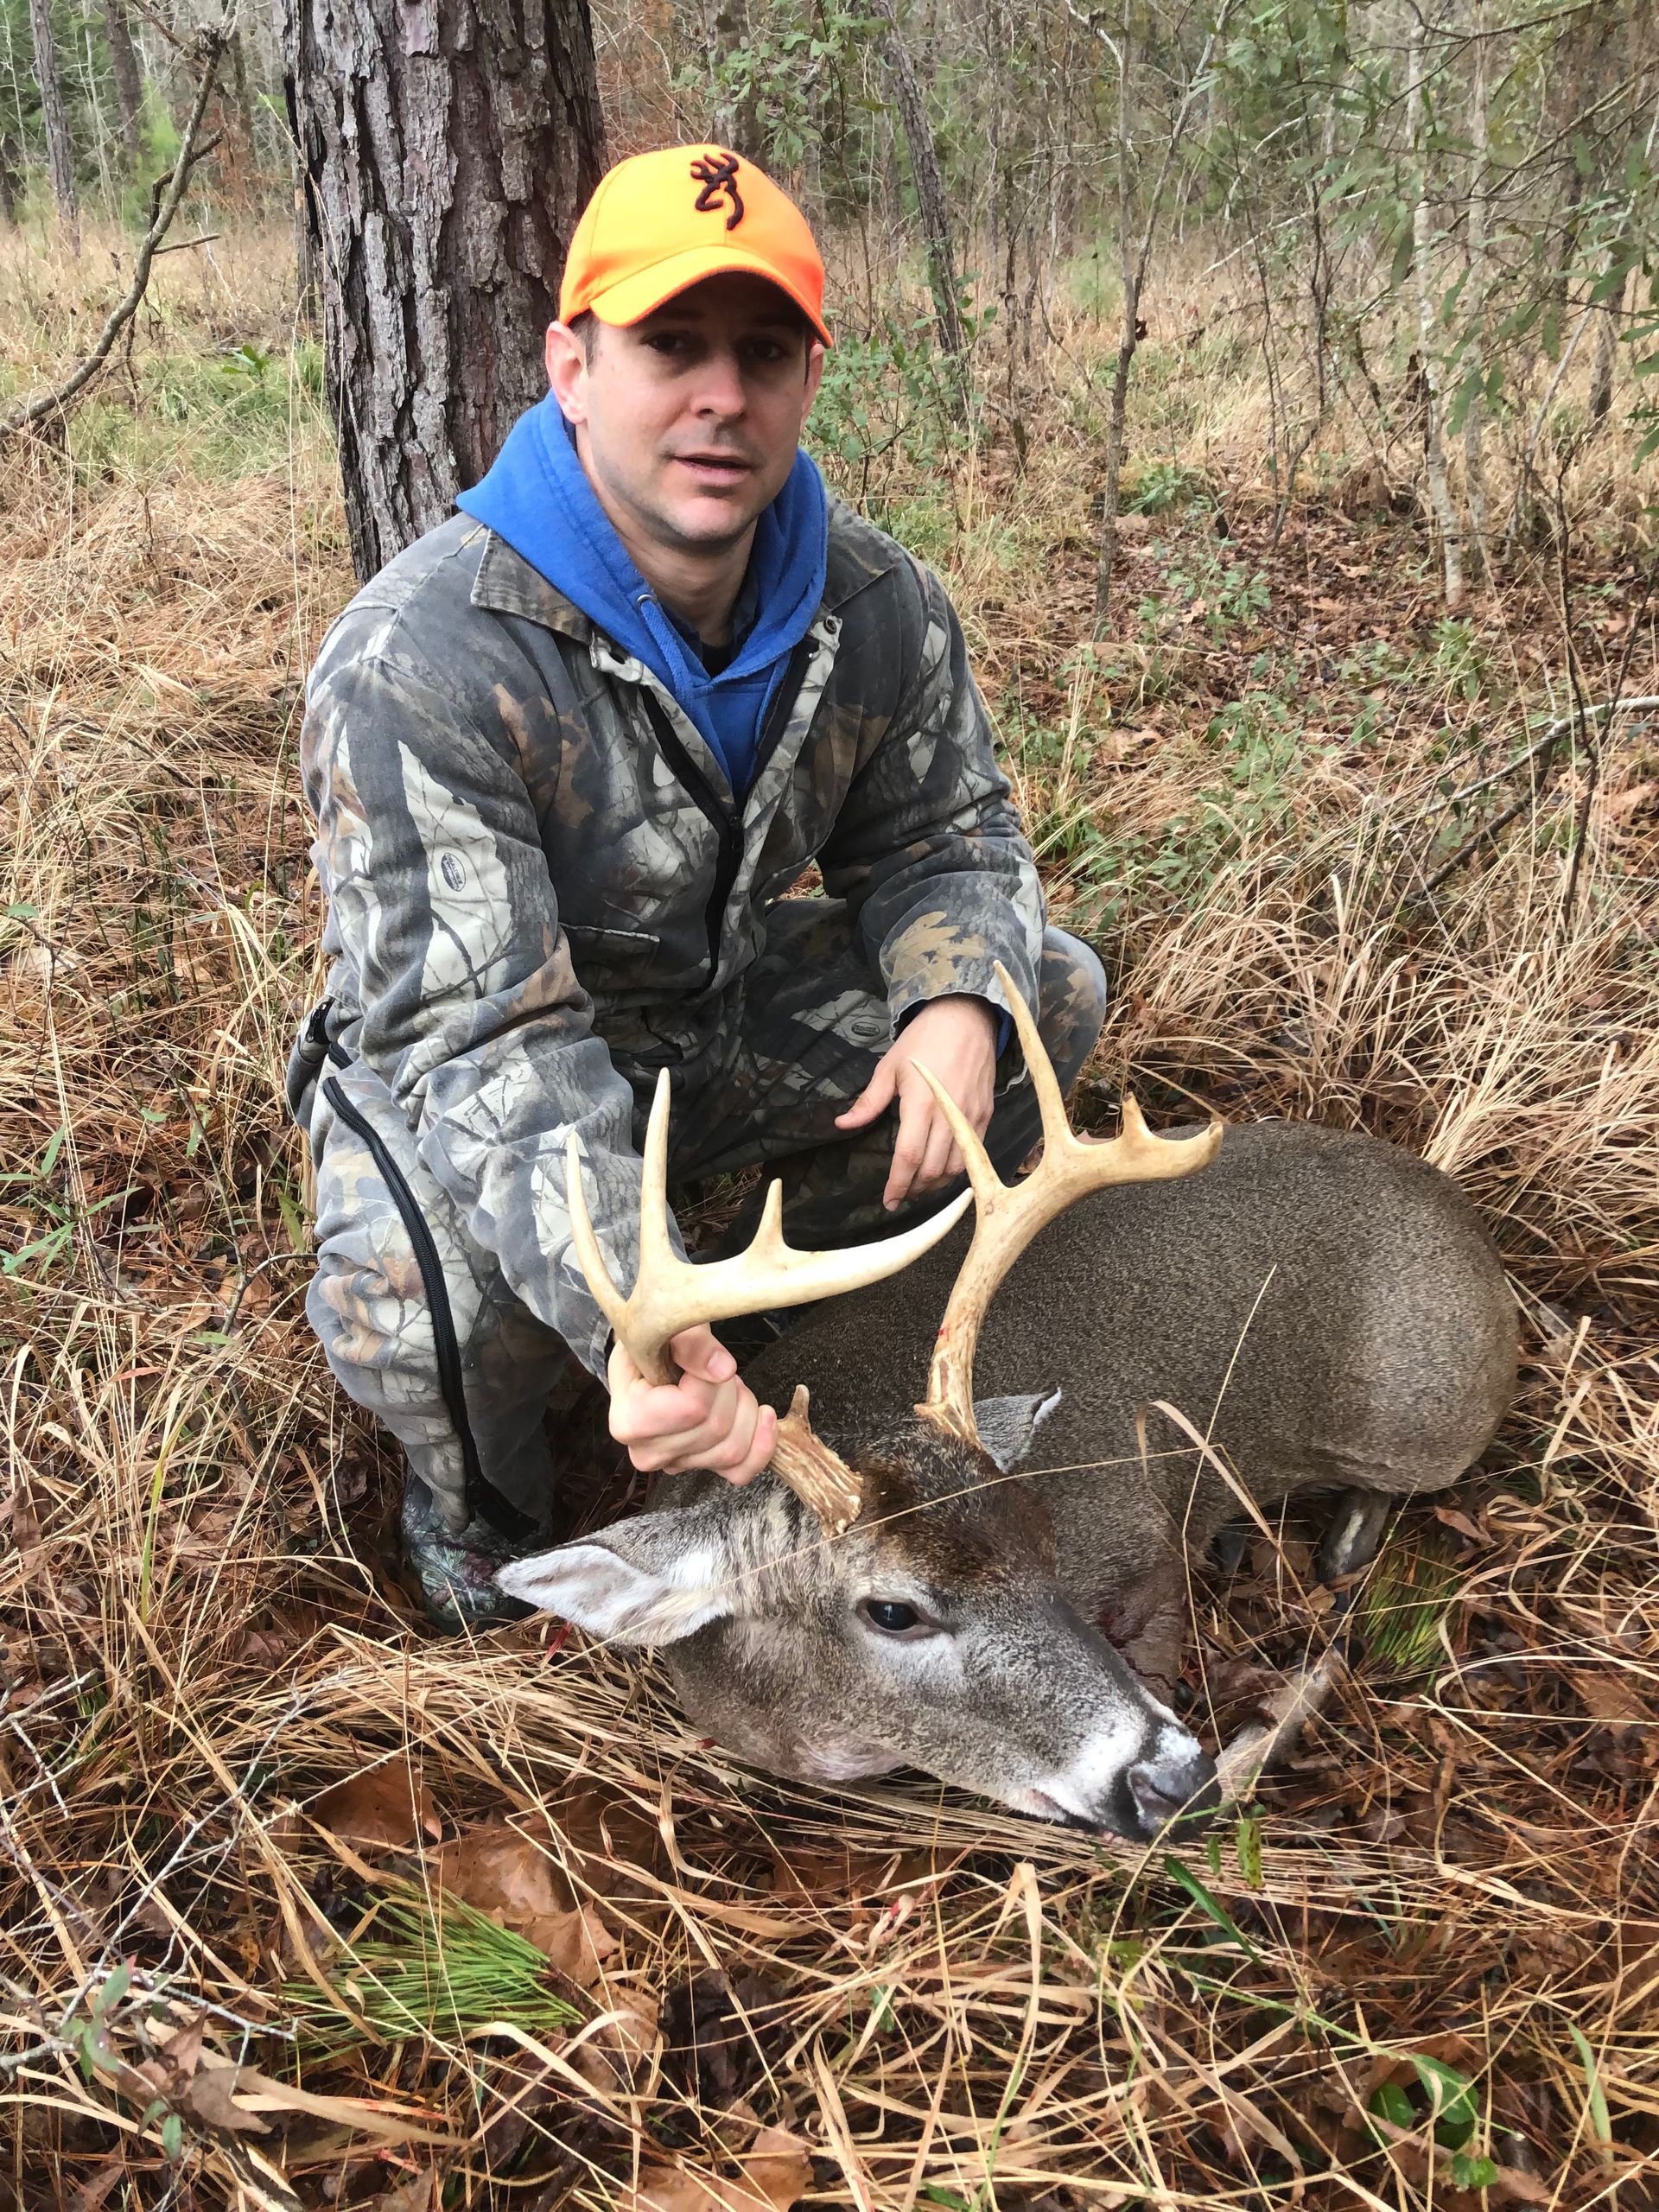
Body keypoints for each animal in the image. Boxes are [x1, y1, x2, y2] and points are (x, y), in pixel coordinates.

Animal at [497, 969, 1517, 1843]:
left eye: (1044, 1537)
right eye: (894, 1611)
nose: (1169, 1779)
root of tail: (1473, 1228)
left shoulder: (1141, 1530)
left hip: (1421, 1417)